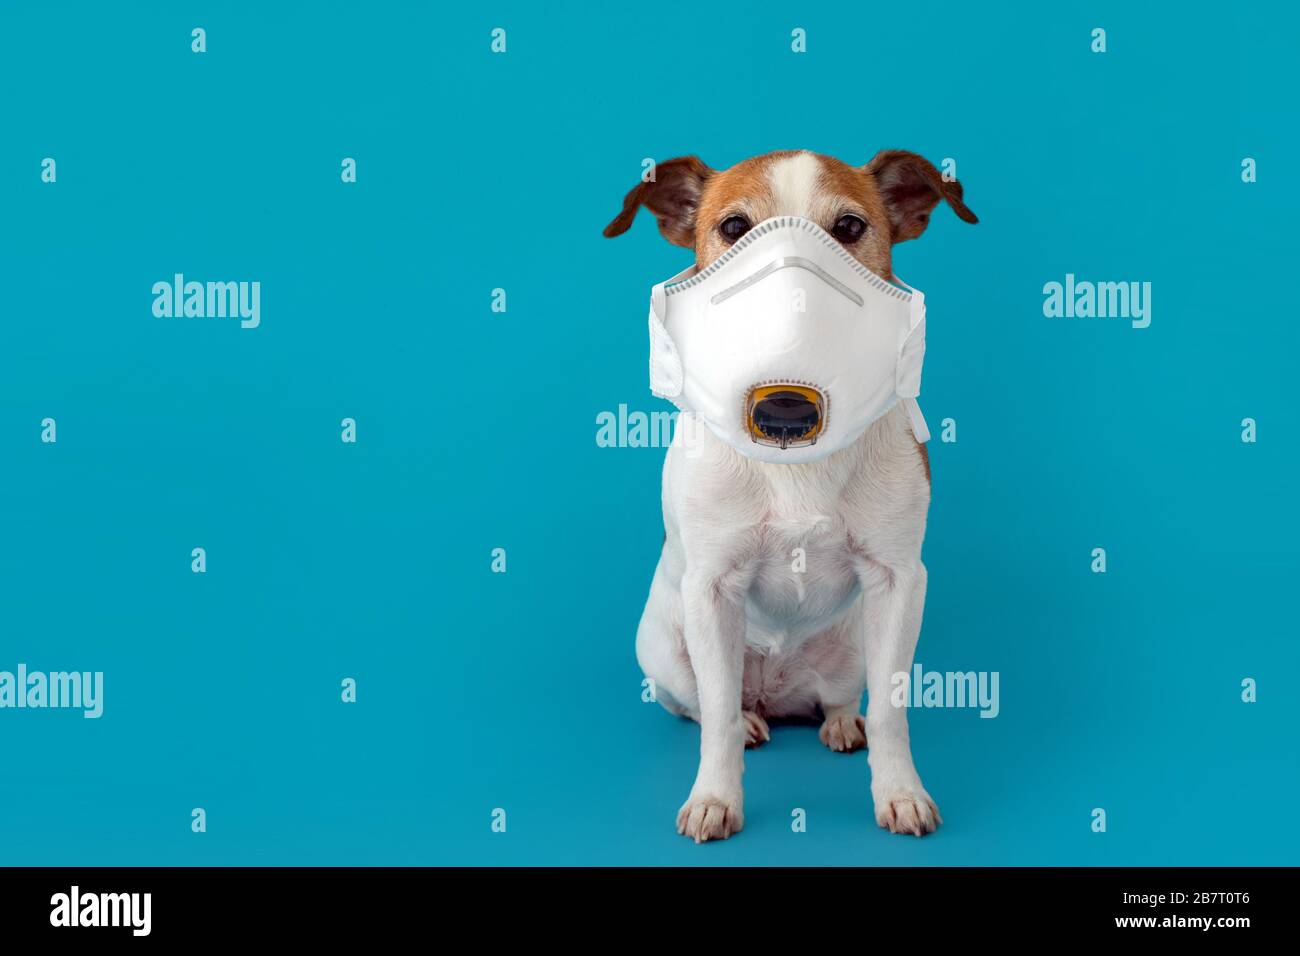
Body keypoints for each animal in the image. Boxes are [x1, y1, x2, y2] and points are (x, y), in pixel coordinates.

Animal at [600, 145, 977, 842]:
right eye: (733, 227)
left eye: (850, 227)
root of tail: (776, 692)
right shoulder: (712, 587)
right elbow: (716, 713)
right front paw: (715, 797)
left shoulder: (898, 581)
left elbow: (893, 711)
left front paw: (900, 792)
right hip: (664, 648)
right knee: (706, 705)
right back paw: (750, 722)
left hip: (855, 643)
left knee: (837, 696)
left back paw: (840, 720)